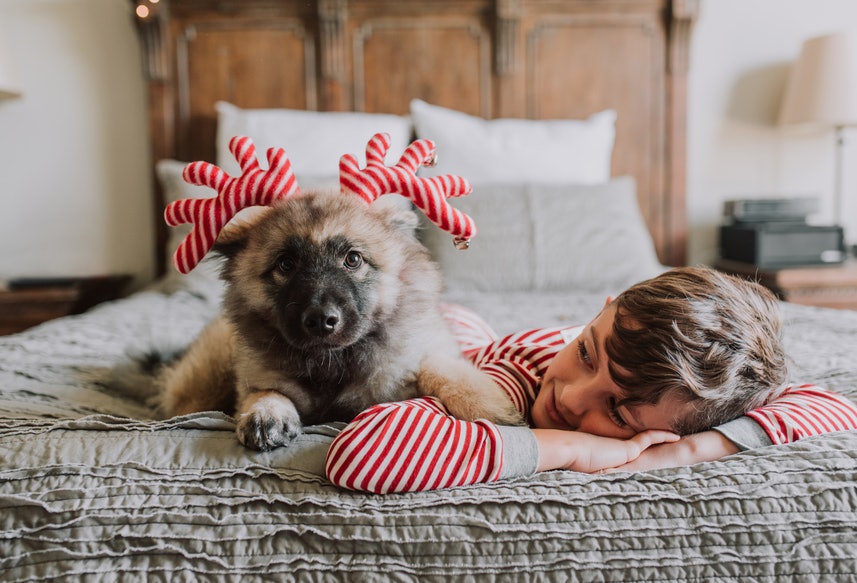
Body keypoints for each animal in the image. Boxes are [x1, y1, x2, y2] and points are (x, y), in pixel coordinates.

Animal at [160, 189, 520, 450]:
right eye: (286, 264)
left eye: (353, 259)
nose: (321, 320)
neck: (332, 363)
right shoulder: (256, 377)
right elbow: (264, 391)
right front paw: (266, 413)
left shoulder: (419, 353)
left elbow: (438, 368)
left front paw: (491, 407)